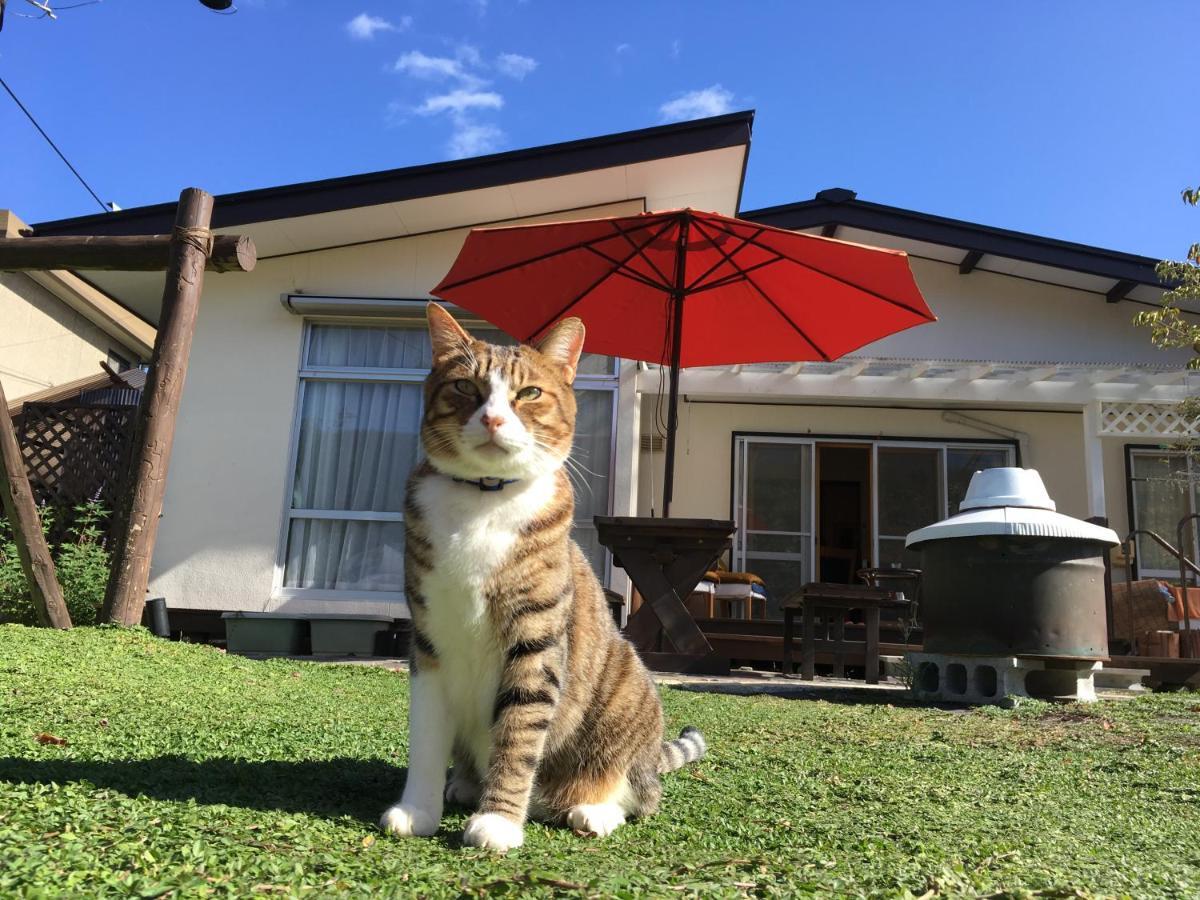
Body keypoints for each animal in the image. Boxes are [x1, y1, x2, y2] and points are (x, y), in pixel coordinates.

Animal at [379, 303, 705, 854]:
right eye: (465, 386)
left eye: (528, 393)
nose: (492, 417)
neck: (484, 500)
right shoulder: (428, 641)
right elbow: (425, 734)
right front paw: (418, 811)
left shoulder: (535, 639)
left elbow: (519, 732)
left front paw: (498, 822)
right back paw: (463, 784)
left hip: (625, 690)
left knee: (639, 794)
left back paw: (592, 808)